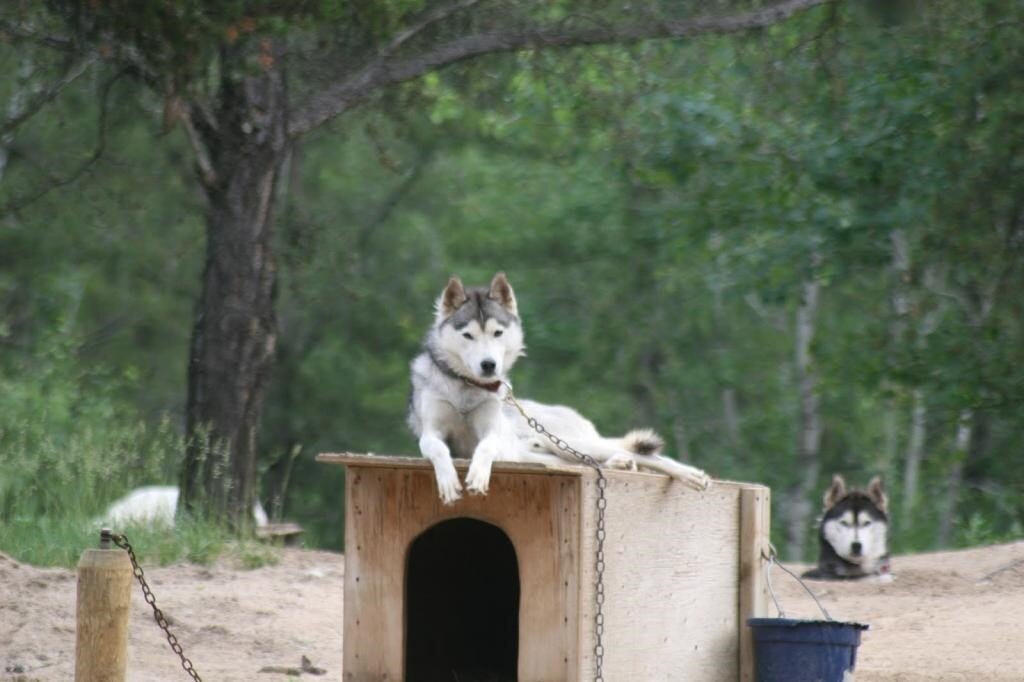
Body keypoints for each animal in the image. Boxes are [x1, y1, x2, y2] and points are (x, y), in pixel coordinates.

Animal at [407, 272, 712, 503]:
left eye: (497, 333)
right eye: (468, 335)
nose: (489, 365)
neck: (466, 390)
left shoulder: (492, 431)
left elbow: (485, 447)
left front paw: (478, 476)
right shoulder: (431, 433)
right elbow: (438, 450)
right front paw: (448, 482)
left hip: (567, 443)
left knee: (644, 454)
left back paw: (691, 475)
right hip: (541, 454)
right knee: (593, 460)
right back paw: (619, 464)